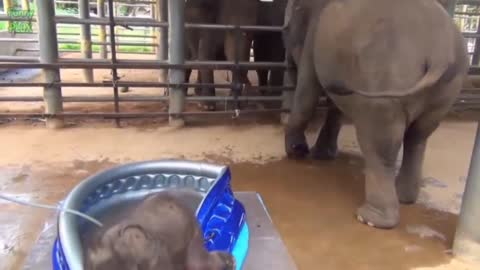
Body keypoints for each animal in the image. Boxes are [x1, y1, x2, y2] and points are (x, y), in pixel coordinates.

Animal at [284, 0, 466, 229]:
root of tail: (440, 56)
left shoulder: (313, 36)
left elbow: (307, 93)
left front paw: (296, 152)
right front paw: (321, 155)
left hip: (385, 79)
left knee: (381, 143)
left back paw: (370, 218)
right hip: (447, 88)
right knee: (419, 136)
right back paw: (405, 197)